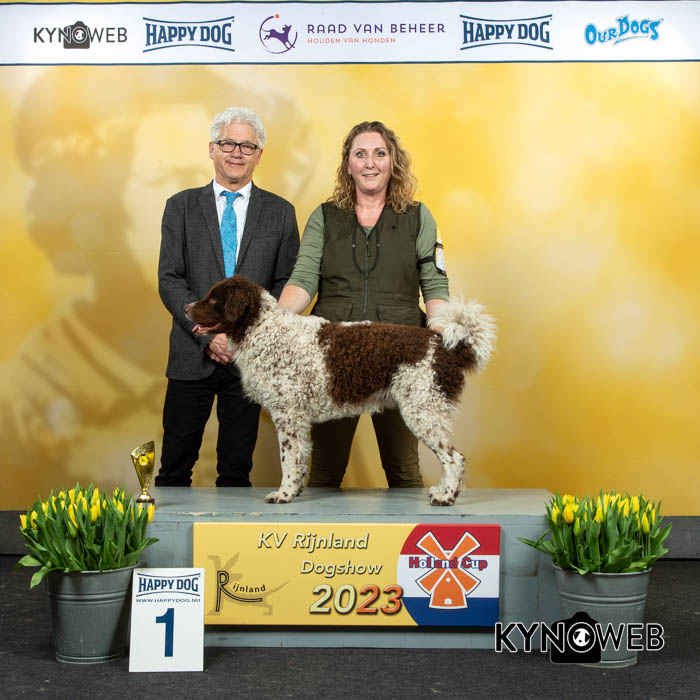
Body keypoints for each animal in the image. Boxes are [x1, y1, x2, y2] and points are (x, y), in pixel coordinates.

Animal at [185, 276, 495, 506]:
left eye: (213, 299)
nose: (186, 308)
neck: (263, 330)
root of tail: (445, 346)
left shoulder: (288, 416)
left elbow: (288, 460)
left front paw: (283, 494)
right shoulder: (297, 420)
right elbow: (299, 461)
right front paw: (294, 491)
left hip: (422, 411)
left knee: (454, 458)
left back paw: (447, 497)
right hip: (427, 412)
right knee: (449, 457)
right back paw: (441, 491)